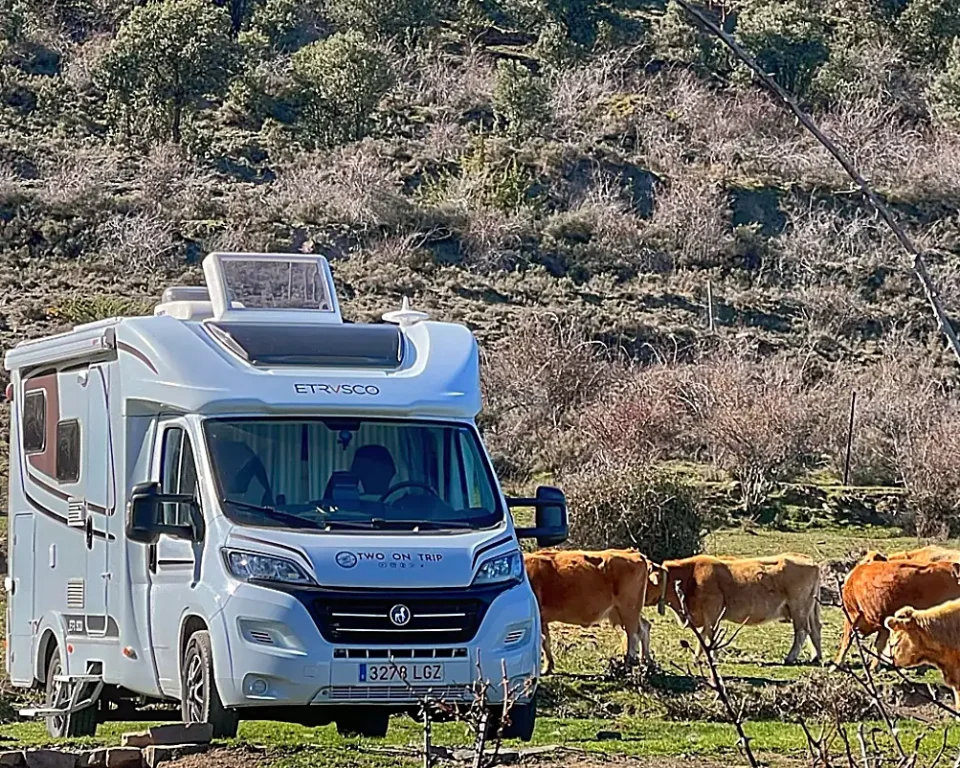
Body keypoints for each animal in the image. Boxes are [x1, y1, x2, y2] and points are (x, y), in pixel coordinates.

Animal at [524, 549, 667, 675]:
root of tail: (634, 553)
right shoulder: (542, 620)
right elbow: (546, 642)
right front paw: (548, 667)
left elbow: (542, 642)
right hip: (621, 612)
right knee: (644, 628)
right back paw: (646, 662)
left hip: (628, 609)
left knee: (633, 635)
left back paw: (628, 665)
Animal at [648, 553, 822, 665]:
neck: (691, 575)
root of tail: (810, 560)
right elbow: (706, 635)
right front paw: (705, 656)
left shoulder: (712, 610)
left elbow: (708, 634)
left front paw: (705, 657)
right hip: (810, 608)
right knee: (815, 629)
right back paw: (816, 657)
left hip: (798, 607)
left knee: (802, 631)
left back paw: (790, 658)